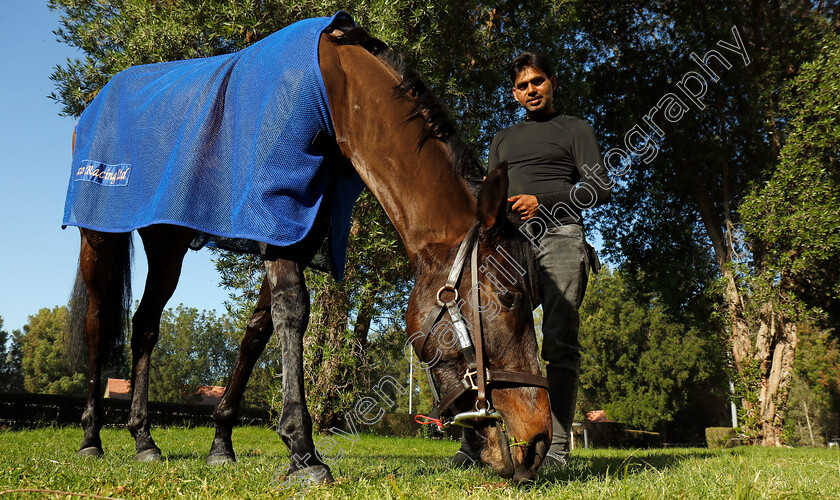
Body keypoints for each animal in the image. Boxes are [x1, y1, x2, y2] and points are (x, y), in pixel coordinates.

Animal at [65, 13, 552, 482]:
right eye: (509, 298)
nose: (539, 442)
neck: (334, 94)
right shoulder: (276, 217)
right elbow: (292, 313)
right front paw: (303, 451)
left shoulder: (292, 231)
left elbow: (257, 331)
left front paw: (221, 444)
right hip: (98, 236)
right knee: (96, 324)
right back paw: (90, 439)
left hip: (167, 242)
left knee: (145, 326)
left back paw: (143, 439)